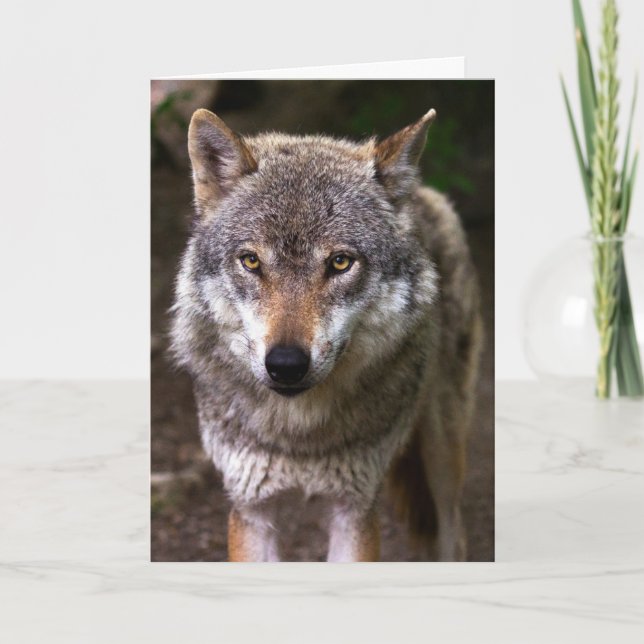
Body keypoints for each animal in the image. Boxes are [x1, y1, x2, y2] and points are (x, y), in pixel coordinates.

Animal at [170, 107, 483, 561]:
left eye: (339, 263)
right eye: (251, 261)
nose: (286, 365)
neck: (299, 435)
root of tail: (422, 193)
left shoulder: (354, 509)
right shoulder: (251, 509)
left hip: (443, 454)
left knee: (453, 532)